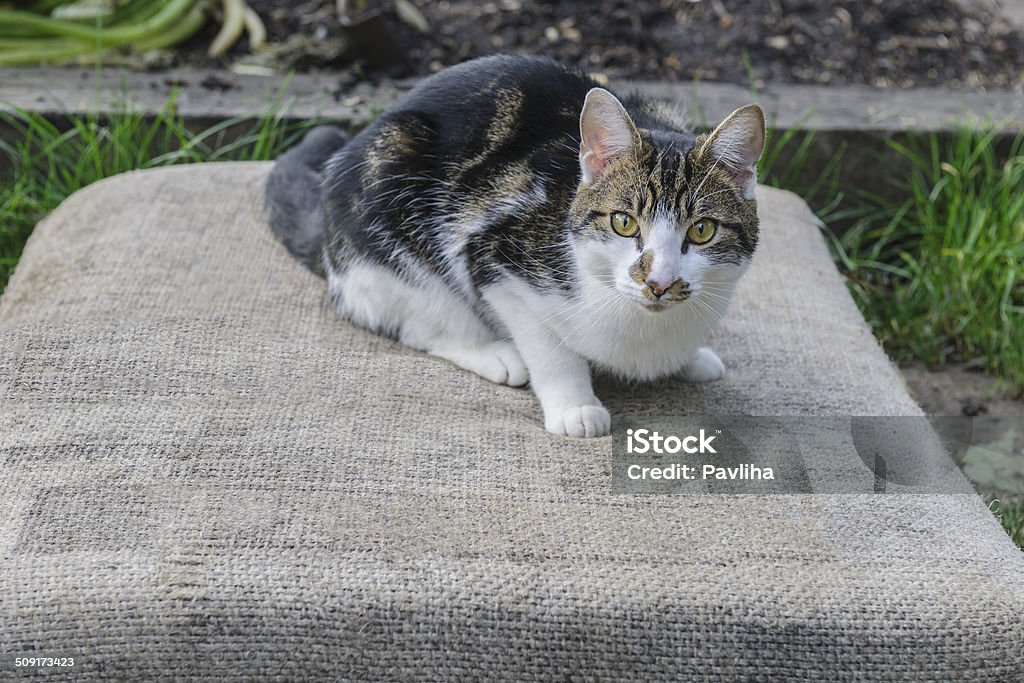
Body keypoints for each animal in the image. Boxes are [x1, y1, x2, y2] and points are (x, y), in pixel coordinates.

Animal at [268, 53, 765, 438]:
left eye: (702, 231)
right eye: (624, 223)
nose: (658, 283)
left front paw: (690, 357)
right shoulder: (496, 257)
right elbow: (548, 346)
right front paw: (575, 406)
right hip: (387, 218)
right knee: (414, 320)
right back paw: (495, 354)